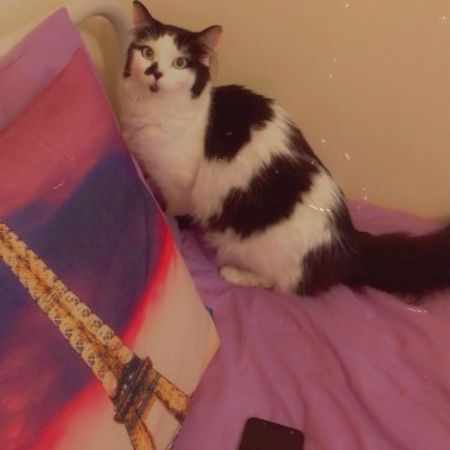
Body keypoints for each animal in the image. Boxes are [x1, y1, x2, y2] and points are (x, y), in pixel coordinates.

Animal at [119, 1, 450, 299]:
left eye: (180, 63)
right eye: (147, 53)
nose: (155, 72)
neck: (154, 111)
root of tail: (348, 240)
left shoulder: (179, 187)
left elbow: (172, 212)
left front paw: (171, 226)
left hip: (259, 249)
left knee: (283, 285)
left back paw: (236, 273)